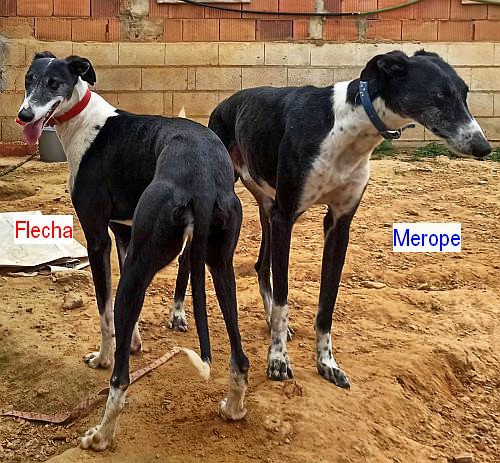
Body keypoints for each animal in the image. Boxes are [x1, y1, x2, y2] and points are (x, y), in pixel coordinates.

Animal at [17, 52, 249, 450]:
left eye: (54, 83)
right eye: (29, 79)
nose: (24, 115)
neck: (84, 122)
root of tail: (201, 179)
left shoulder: (98, 238)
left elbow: (105, 310)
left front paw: (105, 356)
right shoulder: (125, 234)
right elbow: (124, 318)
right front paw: (136, 342)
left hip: (151, 261)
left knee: (121, 380)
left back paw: (101, 434)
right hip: (220, 267)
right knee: (240, 356)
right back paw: (232, 408)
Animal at [171, 50, 491, 388]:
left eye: (465, 94)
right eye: (439, 95)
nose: (483, 147)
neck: (347, 125)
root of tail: (224, 104)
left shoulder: (338, 224)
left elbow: (327, 303)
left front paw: (326, 363)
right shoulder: (286, 217)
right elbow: (284, 298)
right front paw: (278, 360)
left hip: (268, 208)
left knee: (261, 265)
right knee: (189, 257)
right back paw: (178, 314)